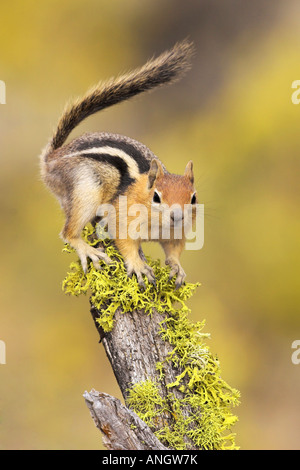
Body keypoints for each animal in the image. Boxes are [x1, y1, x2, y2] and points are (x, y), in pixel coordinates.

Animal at [41, 40, 197, 288]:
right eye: (156, 197)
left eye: (193, 198)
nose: (177, 216)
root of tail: (52, 159)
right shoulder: (123, 219)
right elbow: (125, 242)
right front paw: (138, 266)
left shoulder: (177, 233)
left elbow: (173, 251)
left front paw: (177, 268)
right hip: (86, 191)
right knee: (68, 232)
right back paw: (88, 250)